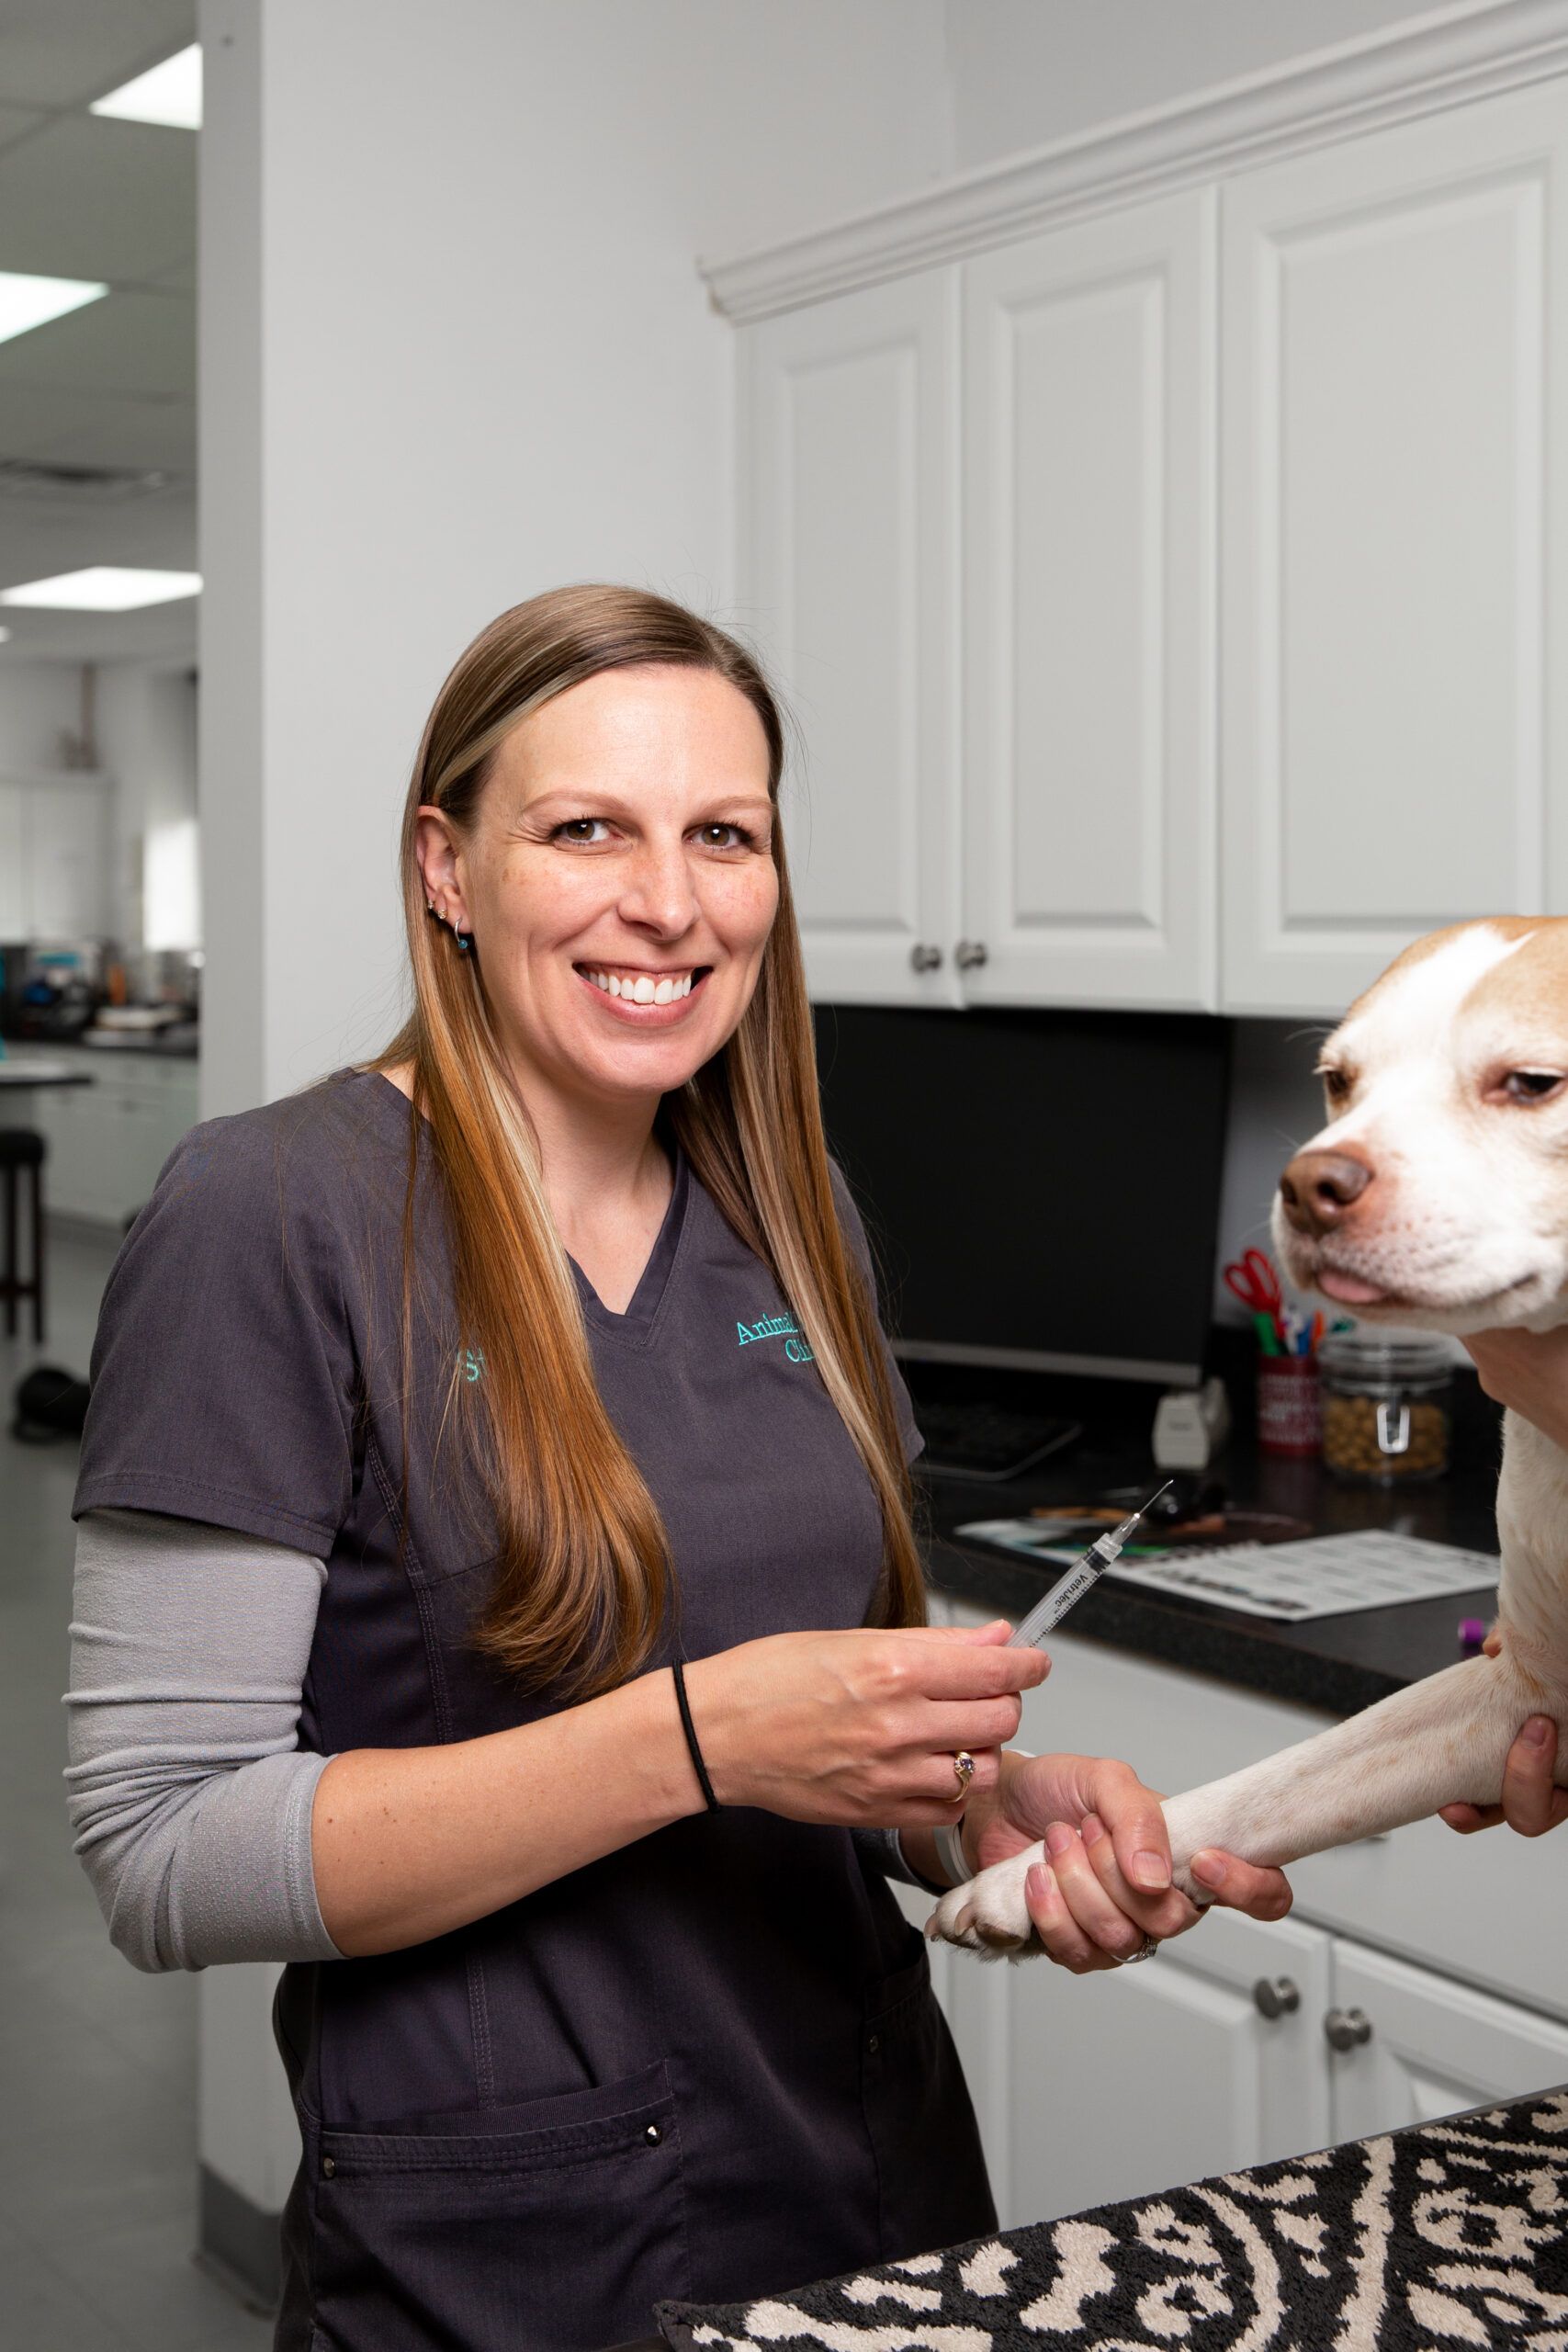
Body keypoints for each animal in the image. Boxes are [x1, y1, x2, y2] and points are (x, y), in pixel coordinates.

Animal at [926, 917, 1568, 1966]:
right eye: (1337, 1080)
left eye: (1531, 1082)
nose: (1310, 1184)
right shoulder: (1516, 1695)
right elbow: (1275, 1785)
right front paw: (1030, 1880)